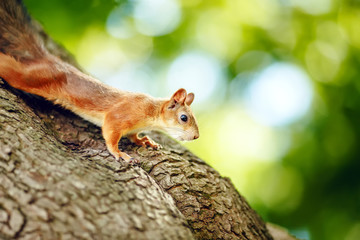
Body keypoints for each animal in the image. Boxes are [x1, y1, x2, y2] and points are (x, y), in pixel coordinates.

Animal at [0, 0, 200, 163]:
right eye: (183, 118)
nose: (196, 137)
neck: (151, 113)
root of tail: (47, 58)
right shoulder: (122, 114)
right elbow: (111, 133)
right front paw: (119, 153)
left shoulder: (133, 128)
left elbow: (134, 136)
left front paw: (145, 141)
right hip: (32, 77)